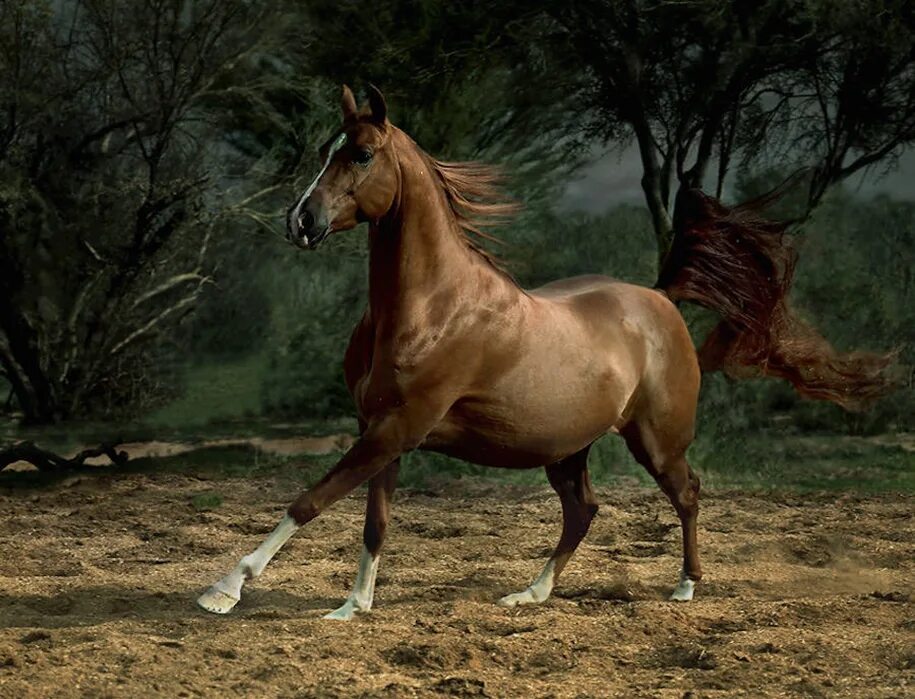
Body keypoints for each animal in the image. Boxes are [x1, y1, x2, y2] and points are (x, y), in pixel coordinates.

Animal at [199, 86, 896, 616]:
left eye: (363, 153)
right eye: (327, 152)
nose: (301, 221)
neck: (431, 307)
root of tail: (659, 297)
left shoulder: (398, 427)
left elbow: (310, 500)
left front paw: (224, 590)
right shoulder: (381, 428)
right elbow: (375, 522)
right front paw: (353, 607)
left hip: (655, 440)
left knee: (687, 493)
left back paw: (685, 588)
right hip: (568, 449)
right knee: (584, 511)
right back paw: (529, 594)